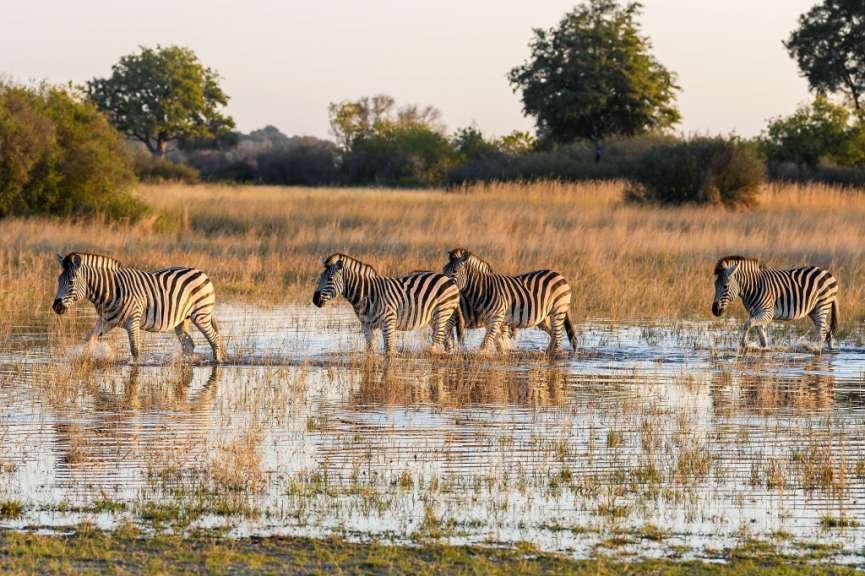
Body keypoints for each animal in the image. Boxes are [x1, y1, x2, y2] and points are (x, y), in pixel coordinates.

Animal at [52, 252, 225, 363]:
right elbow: (88, 340)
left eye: (71, 282)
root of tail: (201, 272)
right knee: (189, 344)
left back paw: (218, 362)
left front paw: (134, 369)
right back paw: (186, 363)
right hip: (183, 319)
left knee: (215, 340)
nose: (56, 307)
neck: (110, 291)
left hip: (200, 314)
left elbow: (135, 350)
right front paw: (82, 358)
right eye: (58, 281)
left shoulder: (132, 321)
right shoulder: (106, 321)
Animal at [312, 253, 464, 354]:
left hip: (442, 312)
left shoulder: (388, 322)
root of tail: (448, 279)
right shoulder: (367, 325)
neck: (366, 294)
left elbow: (389, 352)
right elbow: (371, 350)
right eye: (320, 278)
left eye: (330, 278)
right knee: (447, 339)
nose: (314, 300)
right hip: (434, 317)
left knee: (437, 340)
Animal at [442, 248, 577, 354]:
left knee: (558, 335)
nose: (442, 285)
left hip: (558, 310)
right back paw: (549, 352)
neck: (483, 289)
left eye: (454, 271)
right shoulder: (492, 321)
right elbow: (497, 343)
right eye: (443, 270)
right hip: (544, 317)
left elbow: (485, 344)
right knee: (554, 334)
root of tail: (560, 276)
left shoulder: (496, 318)